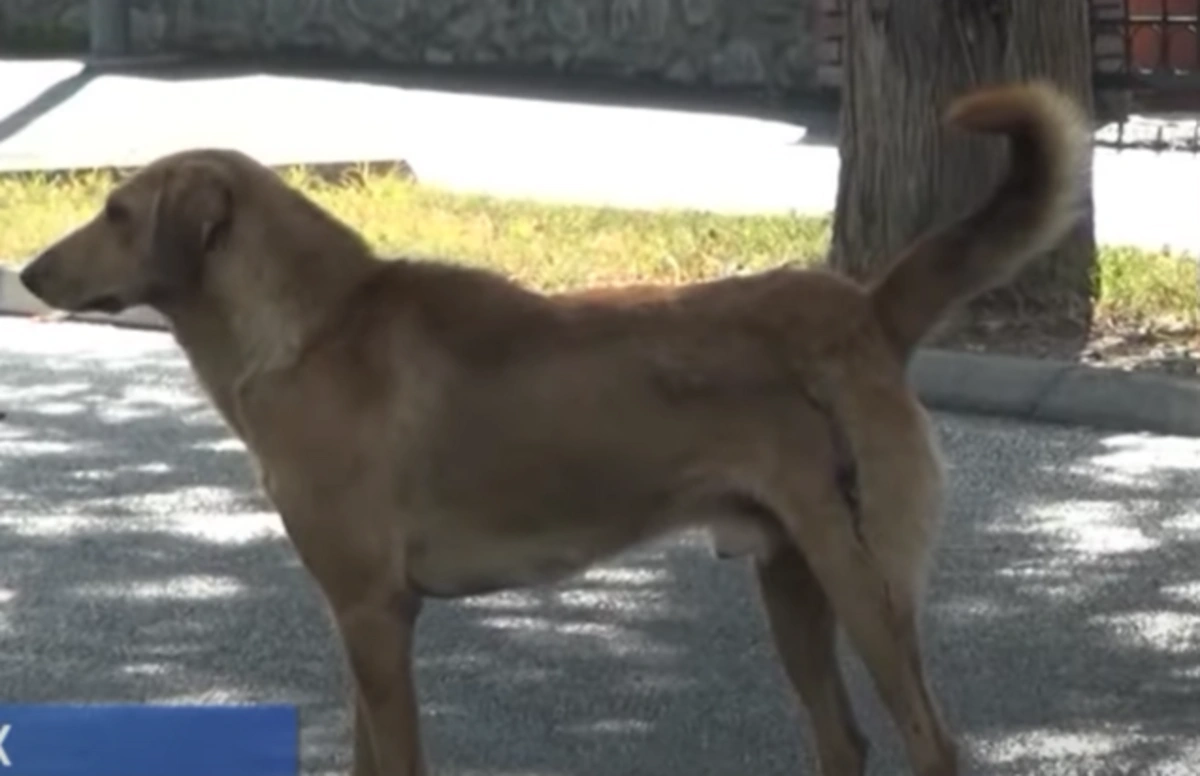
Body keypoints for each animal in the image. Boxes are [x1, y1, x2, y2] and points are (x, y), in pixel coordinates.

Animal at [16, 83, 1089, 776]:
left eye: (116, 211)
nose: (25, 270)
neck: (312, 325)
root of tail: (863, 309)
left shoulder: (373, 614)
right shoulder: (360, 623)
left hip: (866, 581)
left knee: (930, 745)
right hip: (793, 583)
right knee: (846, 743)